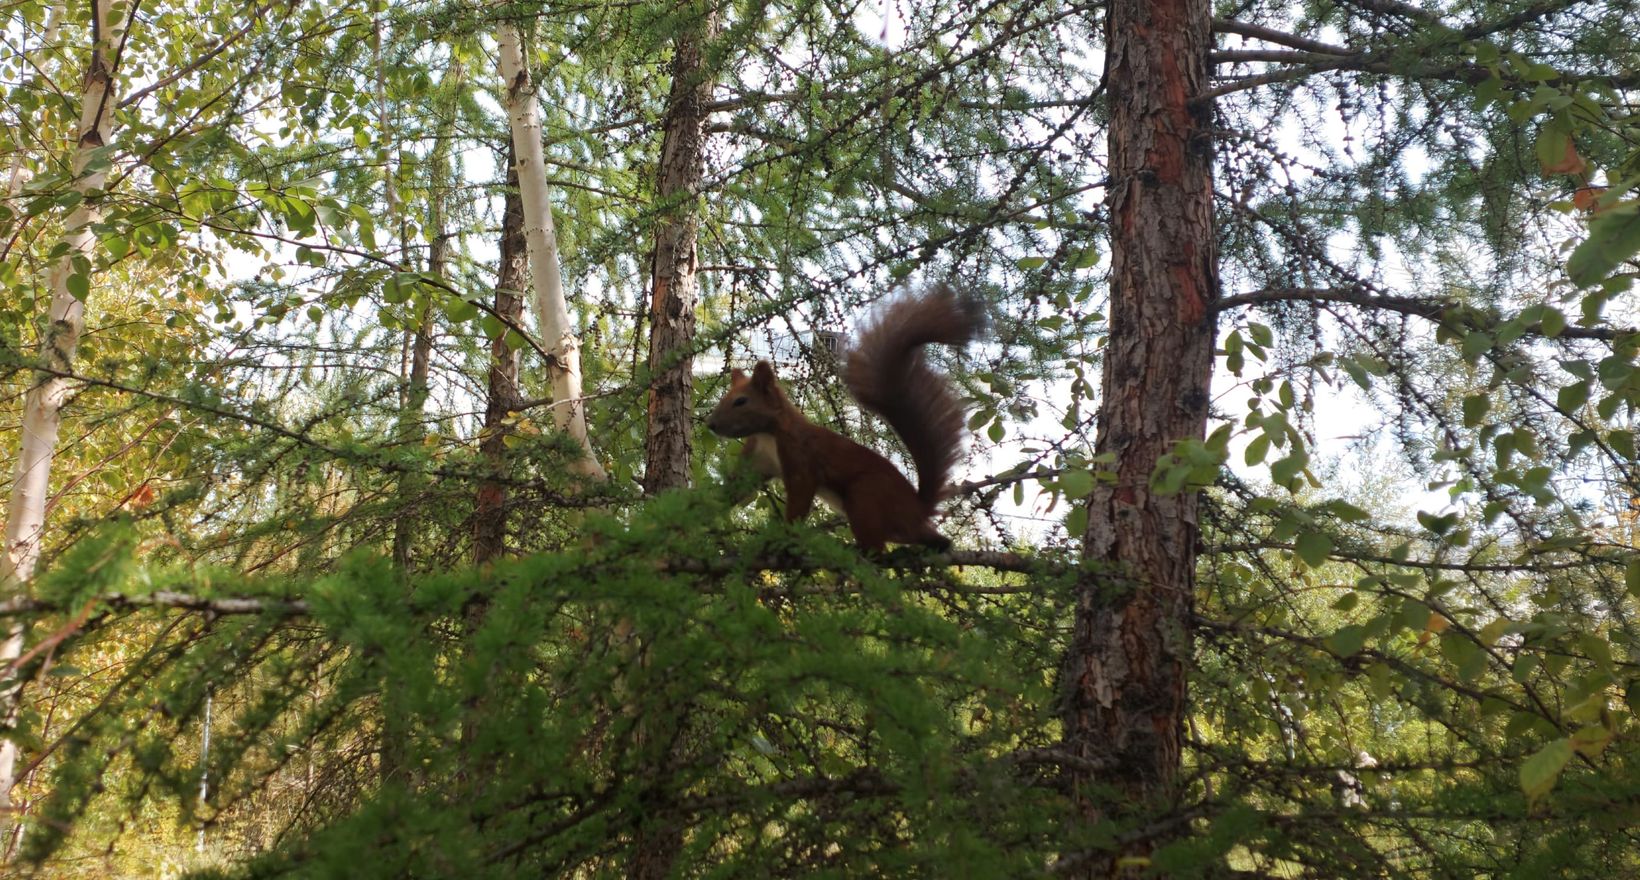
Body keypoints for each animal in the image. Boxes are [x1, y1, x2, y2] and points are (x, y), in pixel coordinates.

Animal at [698, 286, 977, 550]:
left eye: (740, 401)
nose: (711, 424)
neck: (769, 433)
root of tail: (917, 509)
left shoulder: (800, 458)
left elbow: (799, 499)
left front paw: (783, 538)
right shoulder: (758, 459)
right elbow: (736, 489)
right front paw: (699, 507)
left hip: (866, 496)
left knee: (876, 547)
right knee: (929, 539)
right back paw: (935, 544)